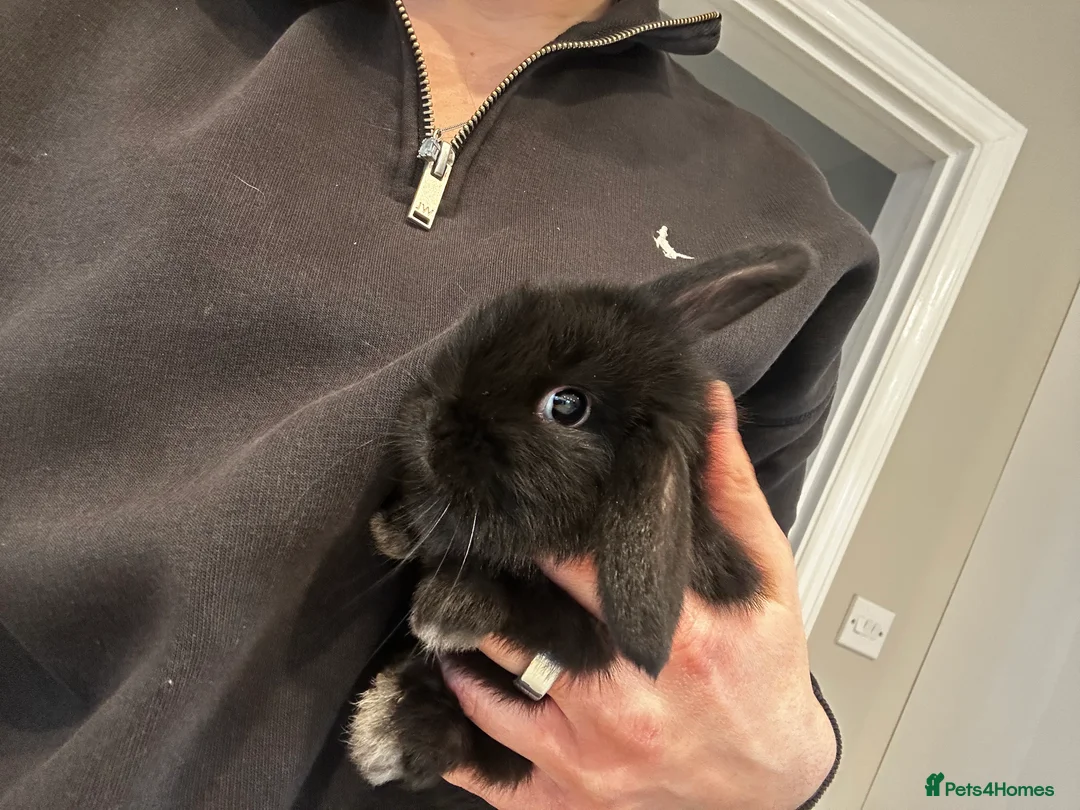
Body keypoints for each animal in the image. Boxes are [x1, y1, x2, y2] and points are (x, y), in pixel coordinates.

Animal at [346, 243, 812, 792]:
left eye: (566, 406)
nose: (430, 420)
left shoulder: (596, 637)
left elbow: (540, 615)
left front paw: (449, 610)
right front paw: (396, 530)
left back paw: (390, 729)